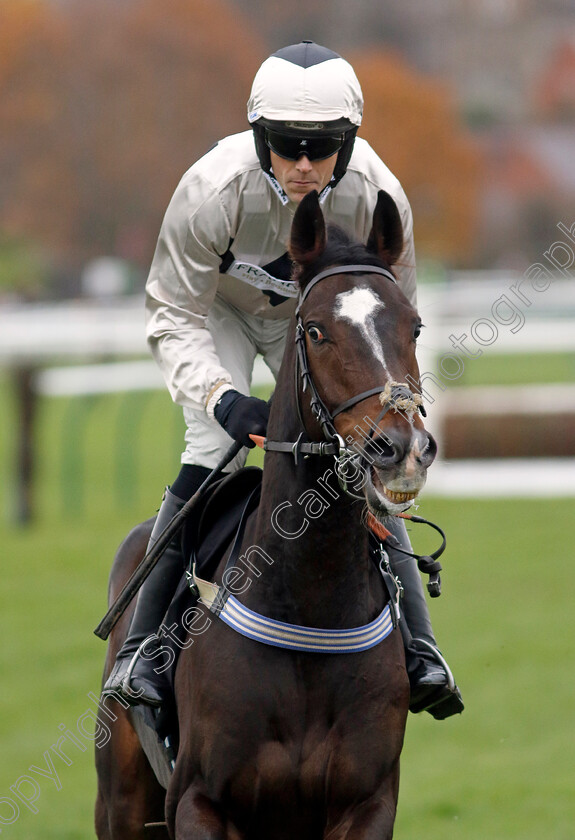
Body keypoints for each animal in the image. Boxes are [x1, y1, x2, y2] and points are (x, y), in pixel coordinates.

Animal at [95, 190, 436, 840]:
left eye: (414, 325)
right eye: (317, 330)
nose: (400, 448)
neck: (308, 604)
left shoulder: (367, 803)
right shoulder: (200, 802)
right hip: (121, 800)